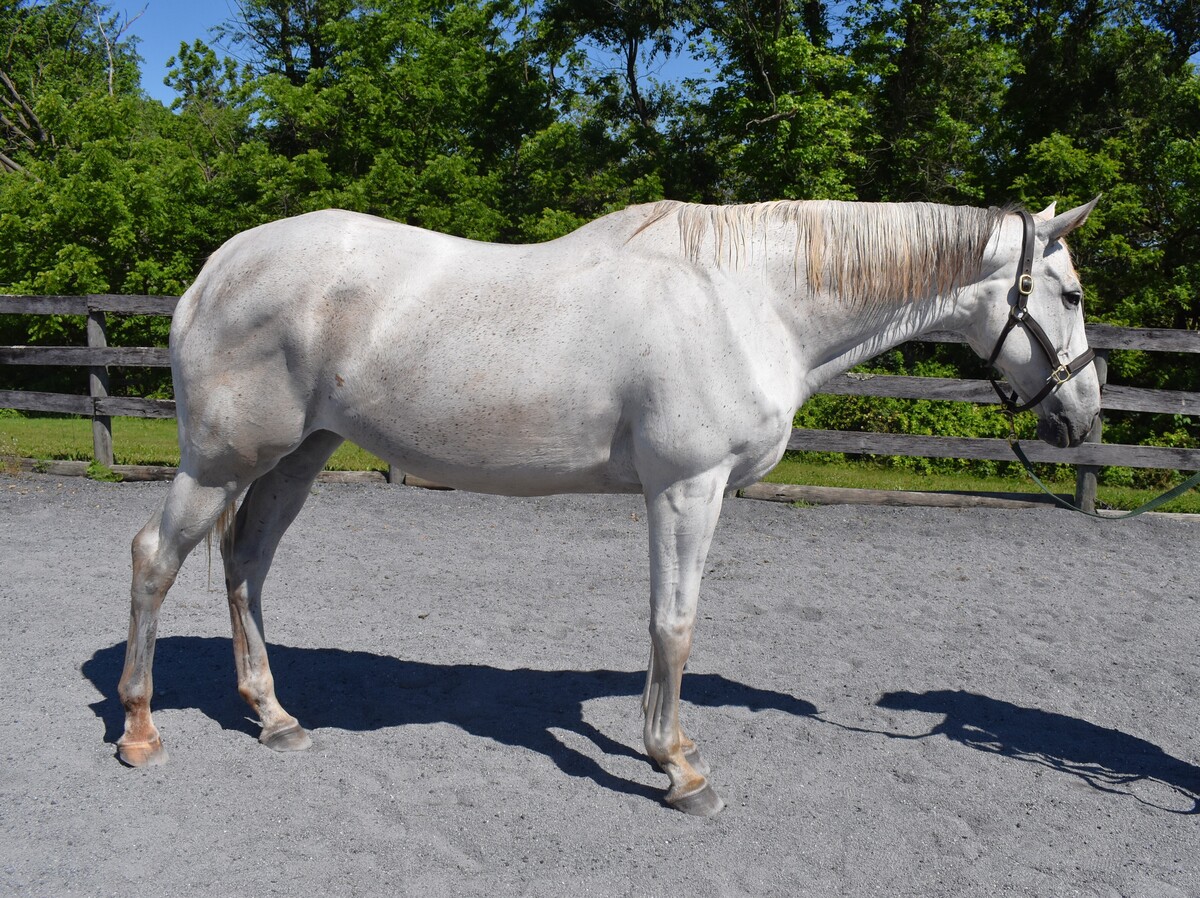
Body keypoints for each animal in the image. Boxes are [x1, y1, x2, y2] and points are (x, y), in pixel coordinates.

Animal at [116, 197, 1101, 816]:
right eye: (1072, 293)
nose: (1082, 415)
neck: (748, 301)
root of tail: (216, 269)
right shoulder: (686, 488)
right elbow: (674, 624)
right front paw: (679, 770)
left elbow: (670, 624)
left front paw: (676, 752)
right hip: (220, 461)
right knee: (155, 560)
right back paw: (138, 730)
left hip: (297, 457)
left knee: (247, 563)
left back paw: (273, 716)